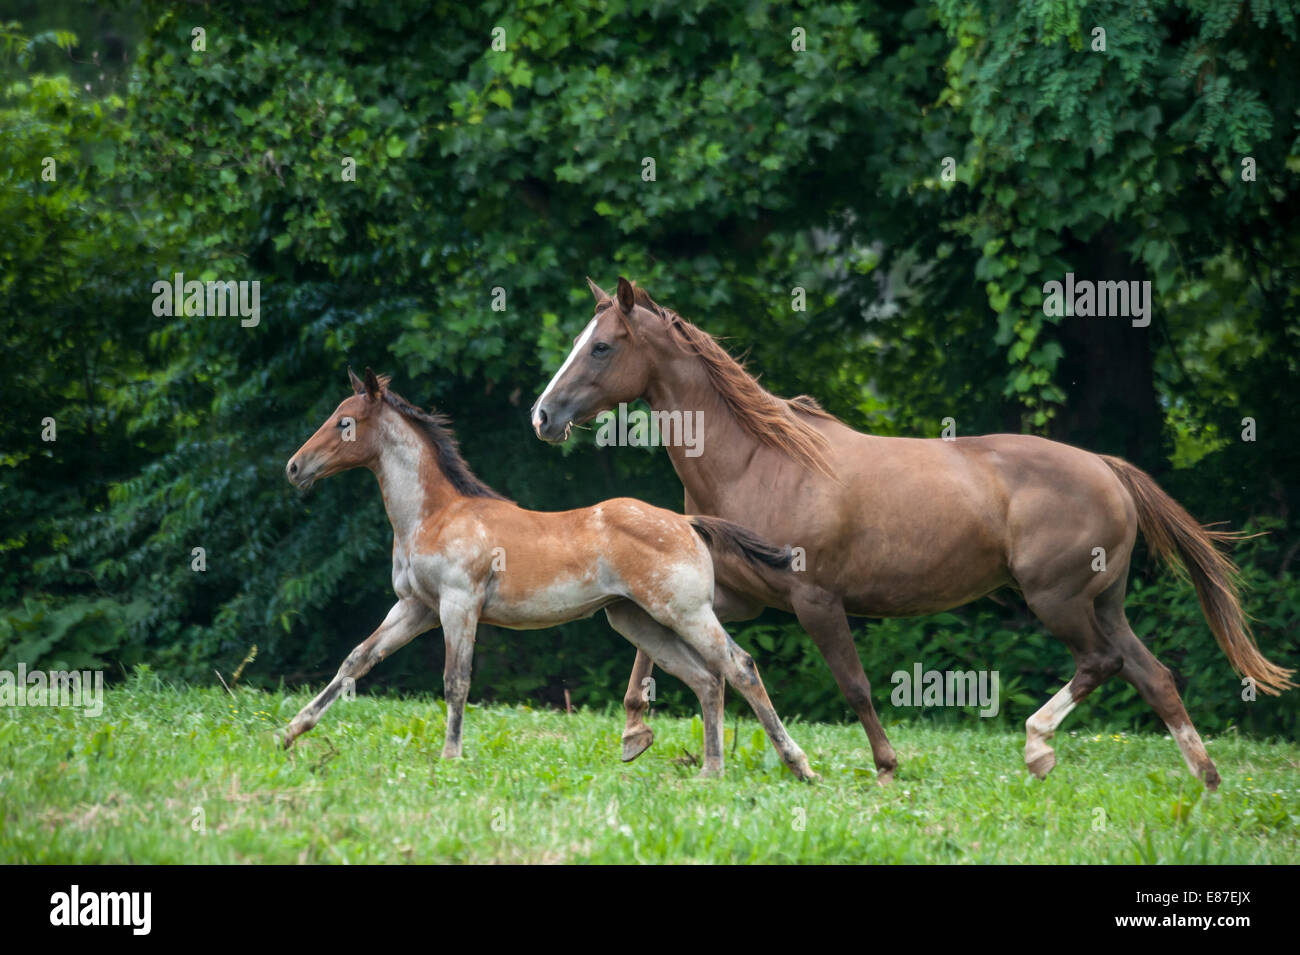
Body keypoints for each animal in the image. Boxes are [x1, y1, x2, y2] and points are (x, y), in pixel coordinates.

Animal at [280, 369, 816, 784]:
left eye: (345, 423)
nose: (294, 467)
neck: (434, 515)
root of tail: (687, 522)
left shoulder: (458, 605)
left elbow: (456, 680)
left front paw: (450, 756)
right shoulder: (415, 608)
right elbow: (357, 659)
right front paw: (290, 730)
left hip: (684, 613)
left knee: (739, 667)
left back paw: (799, 765)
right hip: (637, 620)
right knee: (706, 679)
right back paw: (710, 770)